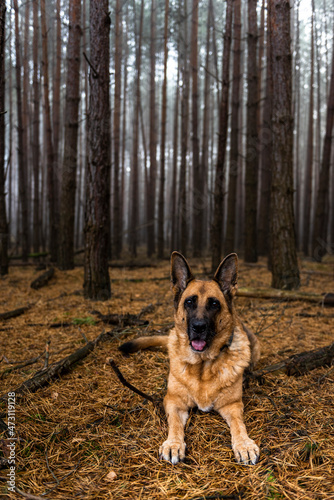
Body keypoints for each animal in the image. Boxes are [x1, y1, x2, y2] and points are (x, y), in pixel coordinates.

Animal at [120, 252, 260, 466]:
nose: (198, 327)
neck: (203, 364)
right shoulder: (173, 401)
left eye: (214, 303)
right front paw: (173, 444)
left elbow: (239, 424)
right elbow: (175, 424)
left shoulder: (233, 405)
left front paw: (244, 444)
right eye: (189, 302)